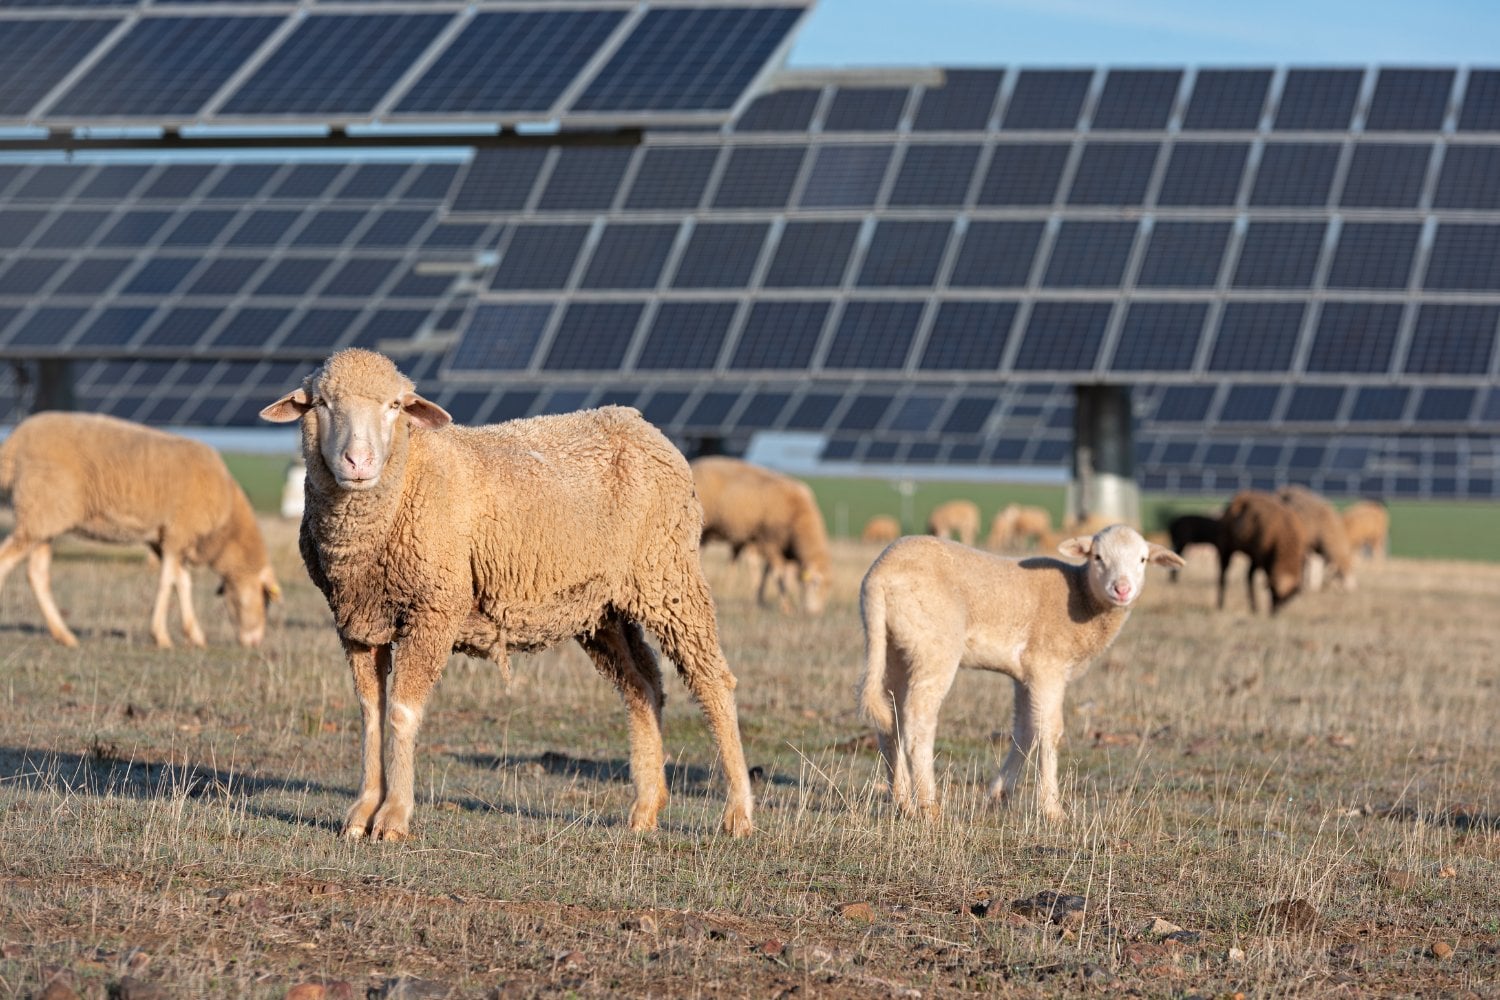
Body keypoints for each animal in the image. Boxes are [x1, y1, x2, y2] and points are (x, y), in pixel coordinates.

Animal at [0, 412, 279, 649]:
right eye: (265, 601)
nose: (255, 643)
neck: (227, 527)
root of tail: (14, 442)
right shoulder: (178, 533)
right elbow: (168, 582)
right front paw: (161, 637)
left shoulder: (171, 539)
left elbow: (183, 583)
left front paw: (195, 636)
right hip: (38, 510)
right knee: (6, 561)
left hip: (43, 520)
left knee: (37, 574)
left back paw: (64, 635)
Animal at [261, 349, 753, 841]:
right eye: (322, 403)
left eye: (395, 406)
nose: (358, 462)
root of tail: (640, 424)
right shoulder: (358, 622)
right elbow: (370, 715)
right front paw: (362, 812)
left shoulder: (434, 610)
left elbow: (401, 712)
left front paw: (393, 818)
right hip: (601, 607)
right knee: (643, 686)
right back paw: (645, 809)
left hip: (669, 576)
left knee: (713, 682)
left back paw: (738, 813)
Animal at [690, 455, 830, 615]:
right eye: (815, 583)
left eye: (828, 589)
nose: (816, 612)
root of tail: (694, 464)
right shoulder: (769, 542)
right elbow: (778, 575)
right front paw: (785, 606)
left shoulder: (776, 547)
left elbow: (767, 573)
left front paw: (761, 600)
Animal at [858, 526, 1183, 822]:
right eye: (1098, 557)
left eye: (1142, 559)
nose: (1122, 589)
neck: (1081, 596)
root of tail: (879, 576)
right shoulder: (1047, 665)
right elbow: (1050, 732)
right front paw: (1052, 809)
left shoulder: (1024, 675)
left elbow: (1026, 730)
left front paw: (999, 794)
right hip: (934, 644)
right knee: (918, 721)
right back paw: (928, 806)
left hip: (895, 646)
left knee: (890, 720)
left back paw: (903, 802)